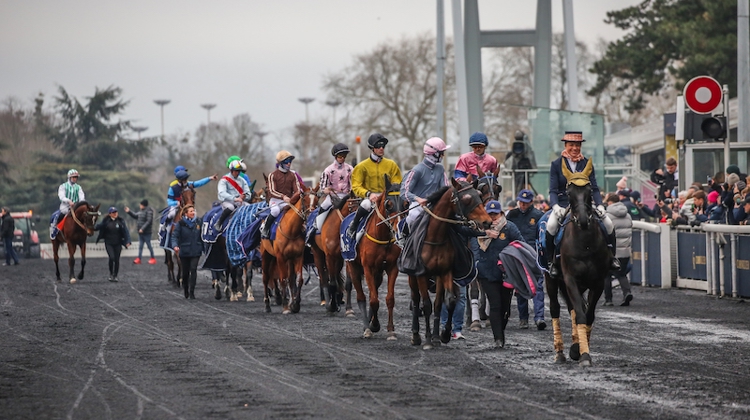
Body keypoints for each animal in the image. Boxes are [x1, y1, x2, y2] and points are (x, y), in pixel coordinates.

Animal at [262, 185, 312, 314]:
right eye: (305, 200)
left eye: (316, 200)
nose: (310, 217)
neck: (291, 230)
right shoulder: (280, 257)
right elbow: (283, 279)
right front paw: (285, 306)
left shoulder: (298, 256)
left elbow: (298, 279)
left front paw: (295, 305)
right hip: (266, 255)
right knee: (265, 278)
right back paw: (267, 305)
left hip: (287, 259)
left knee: (290, 279)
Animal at [348, 176, 406, 340]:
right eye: (388, 204)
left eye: (405, 203)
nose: (398, 227)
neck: (383, 238)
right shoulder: (367, 268)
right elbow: (373, 300)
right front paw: (371, 327)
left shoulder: (392, 267)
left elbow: (389, 299)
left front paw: (390, 330)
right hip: (353, 268)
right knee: (361, 297)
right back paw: (366, 326)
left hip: (378, 273)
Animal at [408, 179, 496, 350]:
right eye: (467, 199)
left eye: (479, 195)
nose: (488, 222)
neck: (434, 237)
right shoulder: (421, 273)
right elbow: (426, 305)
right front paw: (427, 340)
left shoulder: (445, 271)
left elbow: (449, 302)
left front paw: (443, 335)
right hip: (412, 276)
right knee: (415, 300)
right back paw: (415, 335)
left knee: (438, 303)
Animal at [548, 159, 612, 366]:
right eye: (568, 193)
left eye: (590, 191)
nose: (584, 220)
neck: (585, 244)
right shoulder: (570, 280)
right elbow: (581, 315)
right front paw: (583, 355)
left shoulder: (597, 281)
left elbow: (587, 315)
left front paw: (580, 350)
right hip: (551, 279)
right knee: (555, 308)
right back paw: (559, 353)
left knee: (573, 309)